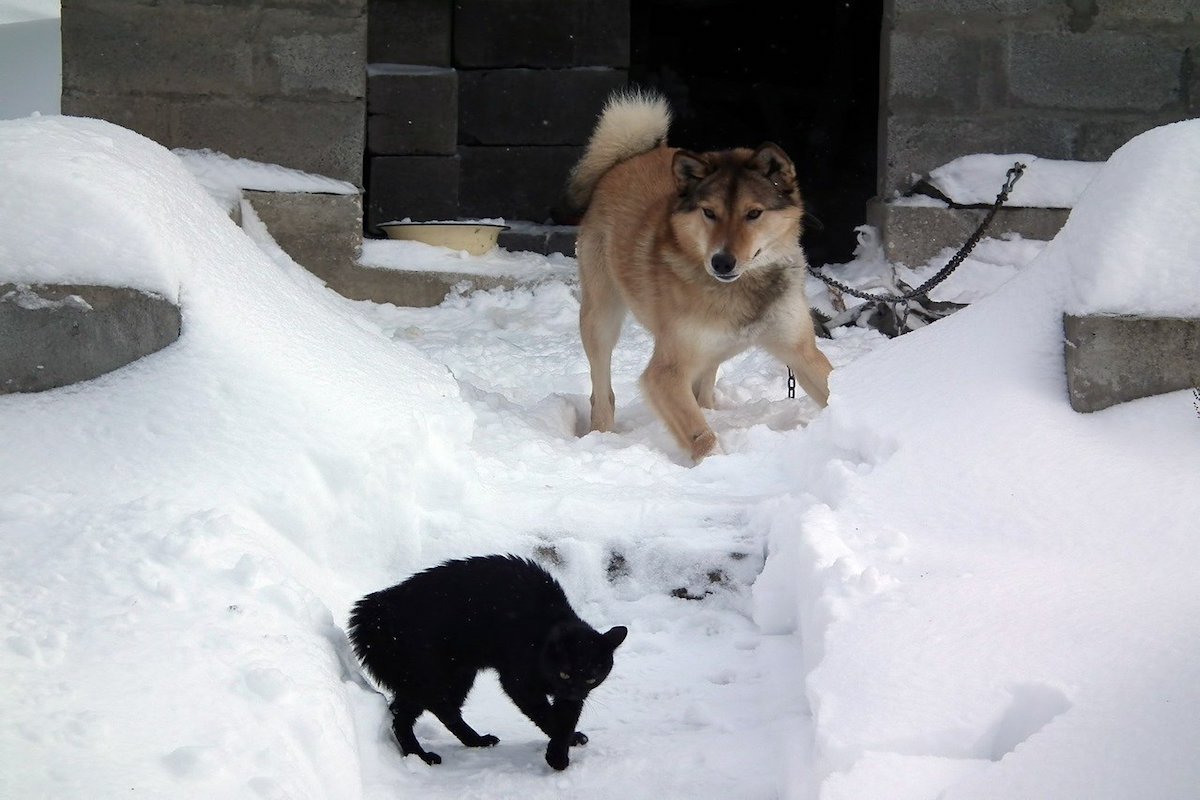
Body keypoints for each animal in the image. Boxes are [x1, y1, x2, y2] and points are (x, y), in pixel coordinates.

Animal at [348, 556, 628, 767]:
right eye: (565, 674)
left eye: (591, 677)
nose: (574, 691)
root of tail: (379, 607)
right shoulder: (518, 682)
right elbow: (547, 716)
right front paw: (557, 756)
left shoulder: (570, 698)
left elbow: (565, 720)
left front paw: (562, 747)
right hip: (427, 676)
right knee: (408, 715)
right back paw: (421, 756)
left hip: (455, 675)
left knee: (435, 712)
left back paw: (476, 741)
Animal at [564, 89, 830, 462]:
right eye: (709, 213)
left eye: (753, 213)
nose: (722, 262)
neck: (742, 290)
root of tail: (626, 160)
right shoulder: (665, 372)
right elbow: (701, 436)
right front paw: (719, 467)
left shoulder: (801, 351)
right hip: (601, 316)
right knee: (602, 390)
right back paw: (601, 434)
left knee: (703, 386)